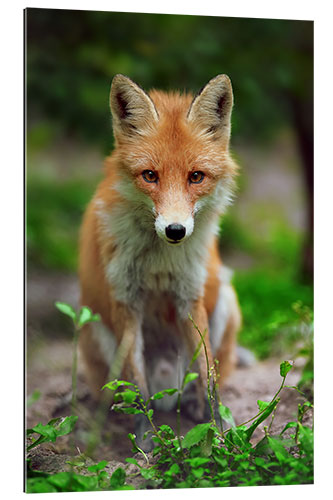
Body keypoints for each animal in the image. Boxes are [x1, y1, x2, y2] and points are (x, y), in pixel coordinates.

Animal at [79, 73, 243, 450]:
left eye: (196, 176)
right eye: (150, 176)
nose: (175, 230)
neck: (159, 262)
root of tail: (169, 385)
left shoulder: (189, 297)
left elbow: (209, 377)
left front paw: (220, 433)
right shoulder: (126, 302)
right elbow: (137, 387)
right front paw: (146, 443)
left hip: (225, 300)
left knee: (205, 377)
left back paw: (196, 408)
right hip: (93, 324)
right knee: (117, 394)